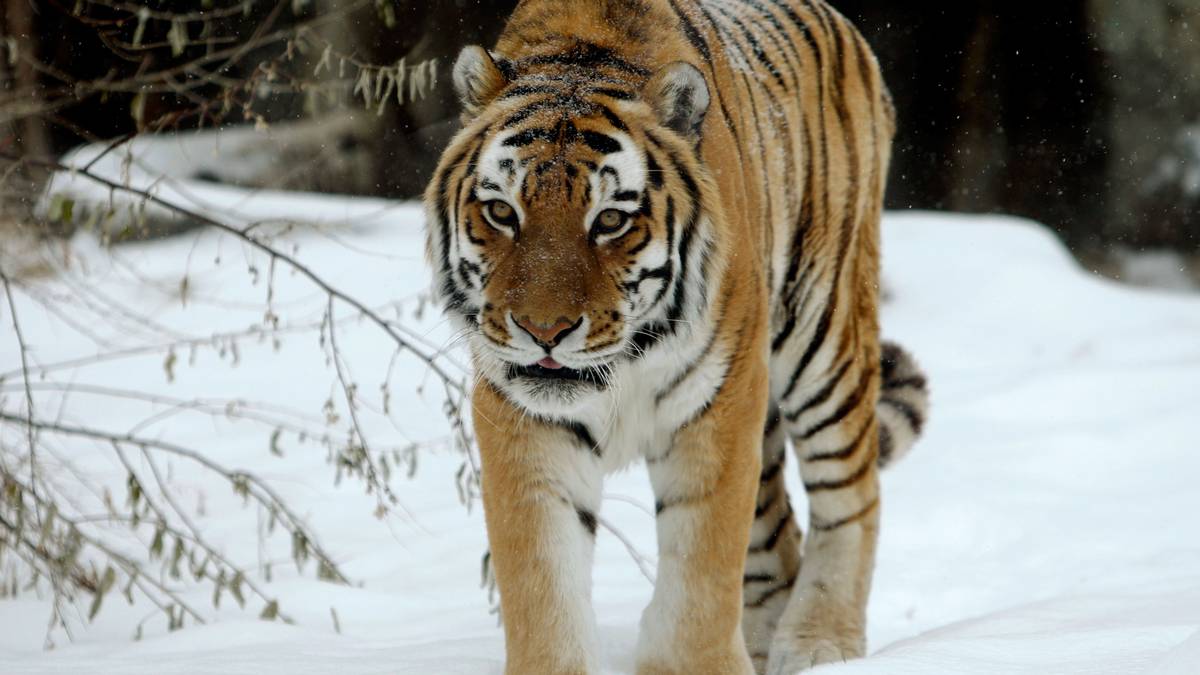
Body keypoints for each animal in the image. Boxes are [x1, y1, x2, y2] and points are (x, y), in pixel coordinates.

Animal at [424, 0, 929, 673]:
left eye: (611, 220)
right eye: (502, 212)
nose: (543, 330)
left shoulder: (718, 404)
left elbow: (702, 570)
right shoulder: (524, 420)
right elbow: (541, 577)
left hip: (825, 333)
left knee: (851, 495)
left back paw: (821, 644)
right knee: (777, 538)